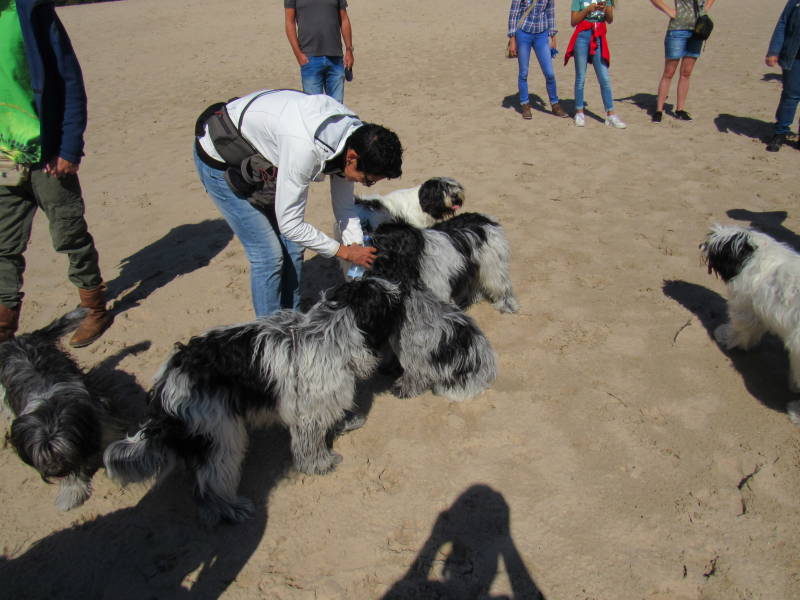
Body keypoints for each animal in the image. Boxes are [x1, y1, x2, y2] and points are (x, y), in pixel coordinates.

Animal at [0, 309, 128, 510]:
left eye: (60, 450)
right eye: (42, 455)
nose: (55, 471)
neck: (51, 405)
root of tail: (17, 340)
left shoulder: (99, 418)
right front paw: (71, 491)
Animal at [103, 277, 403, 525]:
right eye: (390, 303)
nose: (403, 296)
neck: (330, 330)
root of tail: (169, 379)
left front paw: (345, 422)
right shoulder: (309, 411)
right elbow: (311, 442)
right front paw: (320, 464)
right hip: (219, 432)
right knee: (211, 479)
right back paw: (229, 508)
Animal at [701, 224, 800, 424]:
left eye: (715, 248)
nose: (702, 245)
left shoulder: (746, 306)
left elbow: (741, 327)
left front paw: (725, 335)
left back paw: (795, 411)